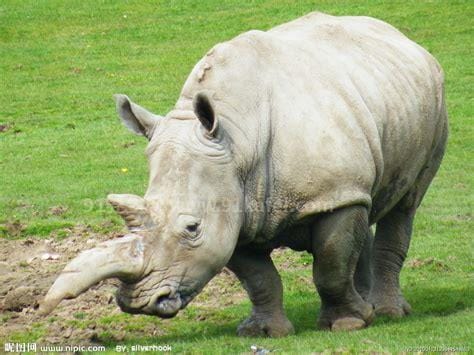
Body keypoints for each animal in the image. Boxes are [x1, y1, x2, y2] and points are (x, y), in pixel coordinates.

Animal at [41, 12, 448, 338]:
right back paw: (368, 307)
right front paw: (264, 332)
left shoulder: (331, 193)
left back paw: (387, 313)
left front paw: (347, 325)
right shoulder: (233, 206)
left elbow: (331, 264)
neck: (237, 141)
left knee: (404, 205)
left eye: (192, 228)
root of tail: (398, 35)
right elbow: (259, 278)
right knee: (365, 206)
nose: (138, 302)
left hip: (435, 100)